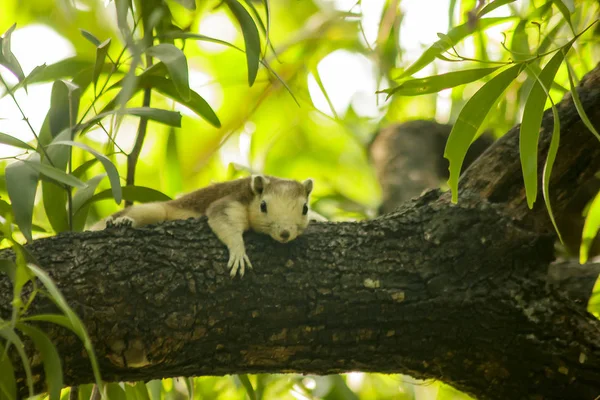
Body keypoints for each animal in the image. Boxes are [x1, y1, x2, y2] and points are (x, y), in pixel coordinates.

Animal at [90, 175, 314, 278]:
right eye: (263, 206)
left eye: (305, 209)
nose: (284, 233)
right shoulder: (230, 201)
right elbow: (223, 220)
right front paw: (238, 252)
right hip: (157, 211)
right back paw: (122, 221)